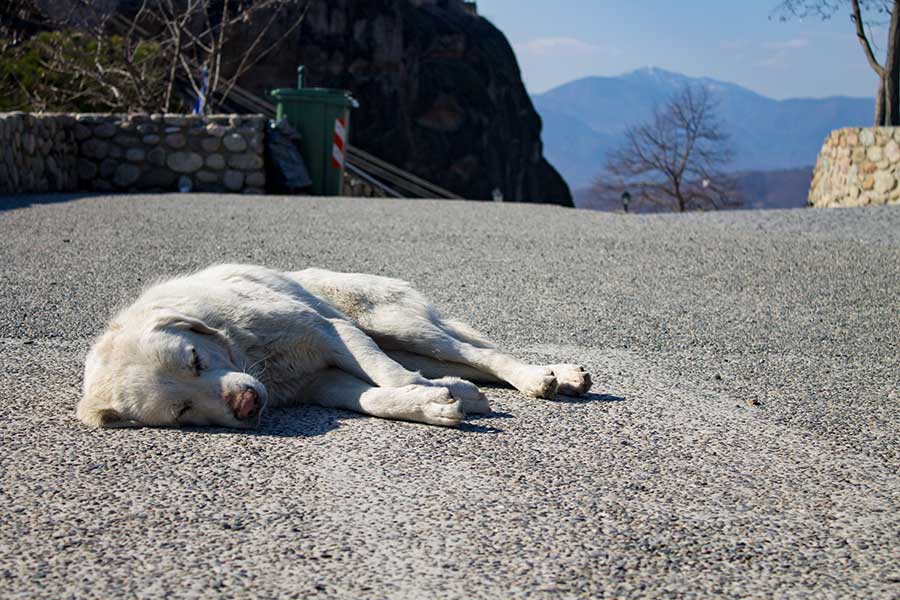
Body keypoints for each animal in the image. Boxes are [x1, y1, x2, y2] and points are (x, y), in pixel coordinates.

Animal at [79, 264, 592, 428]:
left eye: (195, 359)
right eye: (181, 412)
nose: (247, 405)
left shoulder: (327, 330)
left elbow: (386, 377)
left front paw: (436, 396)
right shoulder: (320, 382)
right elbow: (374, 398)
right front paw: (431, 404)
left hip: (392, 324)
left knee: (482, 354)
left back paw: (542, 378)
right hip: (402, 340)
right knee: (464, 365)